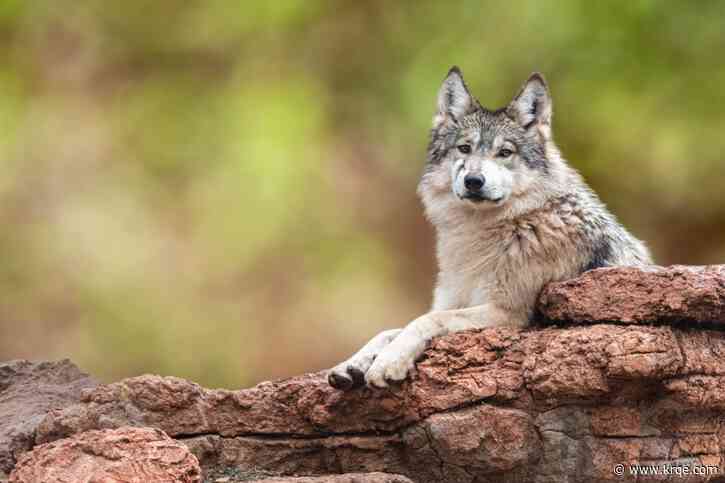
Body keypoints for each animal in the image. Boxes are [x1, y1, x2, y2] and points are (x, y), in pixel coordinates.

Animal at [328, 67, 651, 390]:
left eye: (505, 152)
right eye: (464, 148)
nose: (473, 181)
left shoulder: (507, 313)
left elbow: (424, 321)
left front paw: (388, 362)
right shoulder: (452, 301)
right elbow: (388, 330)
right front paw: (350, 364)